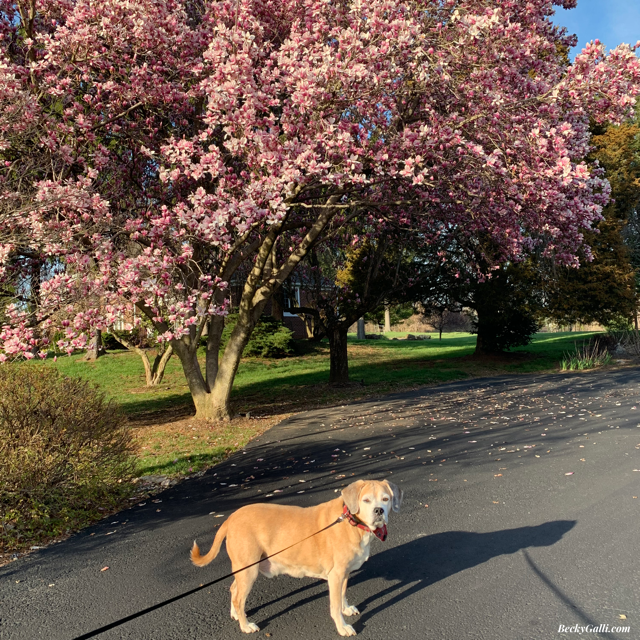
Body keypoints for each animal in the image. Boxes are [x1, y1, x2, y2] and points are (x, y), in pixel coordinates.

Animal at [189, 480, 404, 636]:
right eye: (366, 500)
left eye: (385, 499)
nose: (379, 511)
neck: (352, 522)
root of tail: (231, 518)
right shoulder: (335, 575)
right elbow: (334, 605)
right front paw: (342, 626)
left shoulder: (344, 573)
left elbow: (342, 594)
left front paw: (346, 608)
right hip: (249, 569)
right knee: (239, 597)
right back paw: (245, 625)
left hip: (244, 569)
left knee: (234, 590)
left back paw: (235, 613)